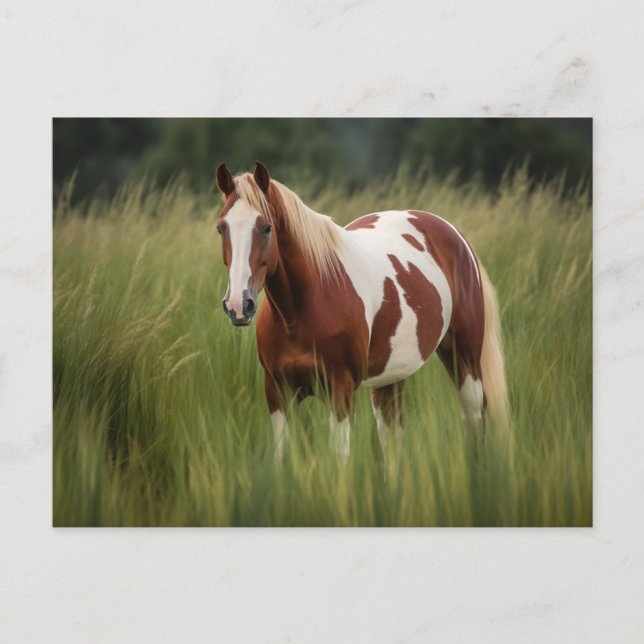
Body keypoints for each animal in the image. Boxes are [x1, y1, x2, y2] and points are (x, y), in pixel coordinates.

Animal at [214, 161, 509, 464]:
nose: (239, 305)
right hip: (391, 378)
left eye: (266, 227)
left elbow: (340, 461)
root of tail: (456, 236)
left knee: (475, 419)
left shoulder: (340, 391)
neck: (299, 311)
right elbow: (283, 459)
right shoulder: (278, 392)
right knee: (393, 441)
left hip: (465, 359)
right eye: (221, 228)